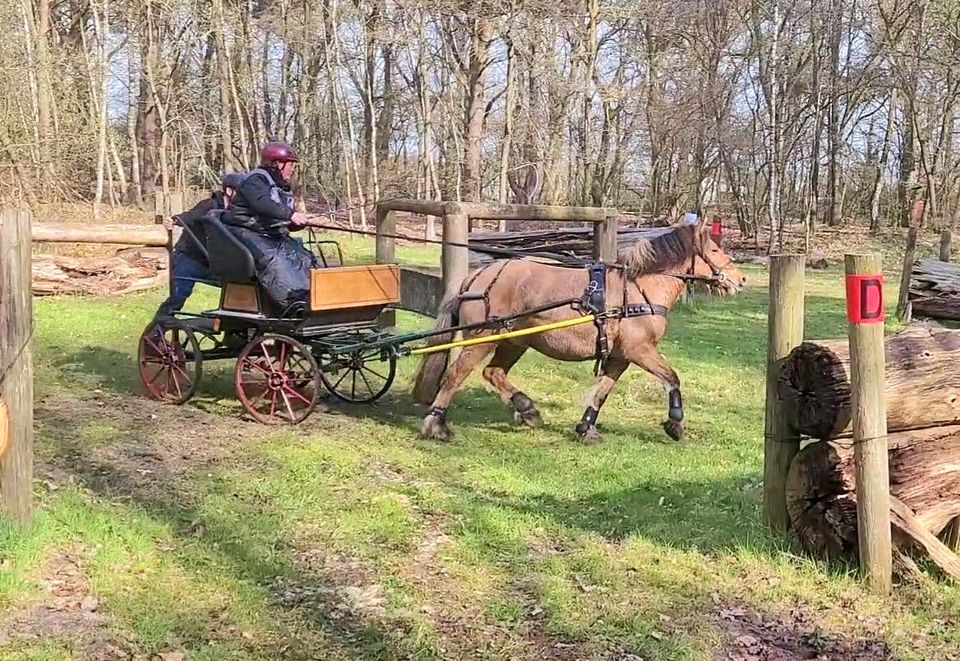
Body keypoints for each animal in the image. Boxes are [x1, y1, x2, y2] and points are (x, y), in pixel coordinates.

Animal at [408, 222, 748, 444]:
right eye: (714, 248)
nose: (741, 279)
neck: (638, 289)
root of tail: (478, 275)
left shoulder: (620, 357)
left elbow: (601, 392)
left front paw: (586, 429)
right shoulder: (641, 351)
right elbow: (672, 378)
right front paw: (675, 423)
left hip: (514, 341)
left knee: (494, 373)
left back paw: (527, 410)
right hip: (481, 339)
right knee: (455, 375)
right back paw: (437, 425)